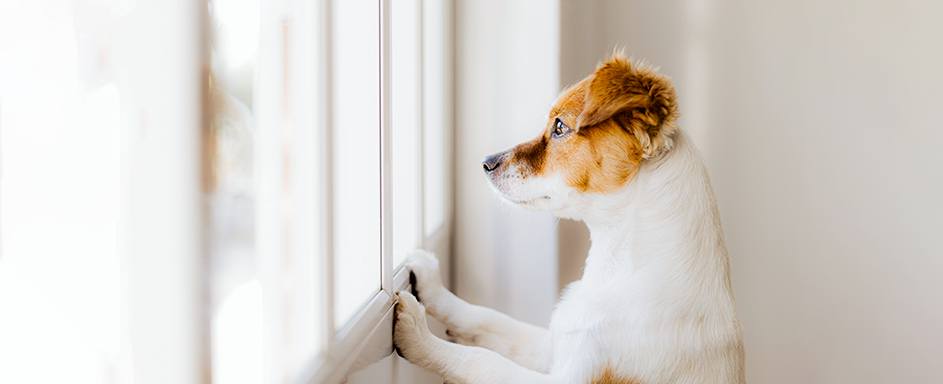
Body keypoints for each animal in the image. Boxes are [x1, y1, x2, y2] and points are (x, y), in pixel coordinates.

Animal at [390, 53, 744, 384]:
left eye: (560, 127)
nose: (486, 162)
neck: (616, 268)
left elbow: (480, 360)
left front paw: (418, 335)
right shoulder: (551, 345)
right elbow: (486, 318)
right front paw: (432, 285)